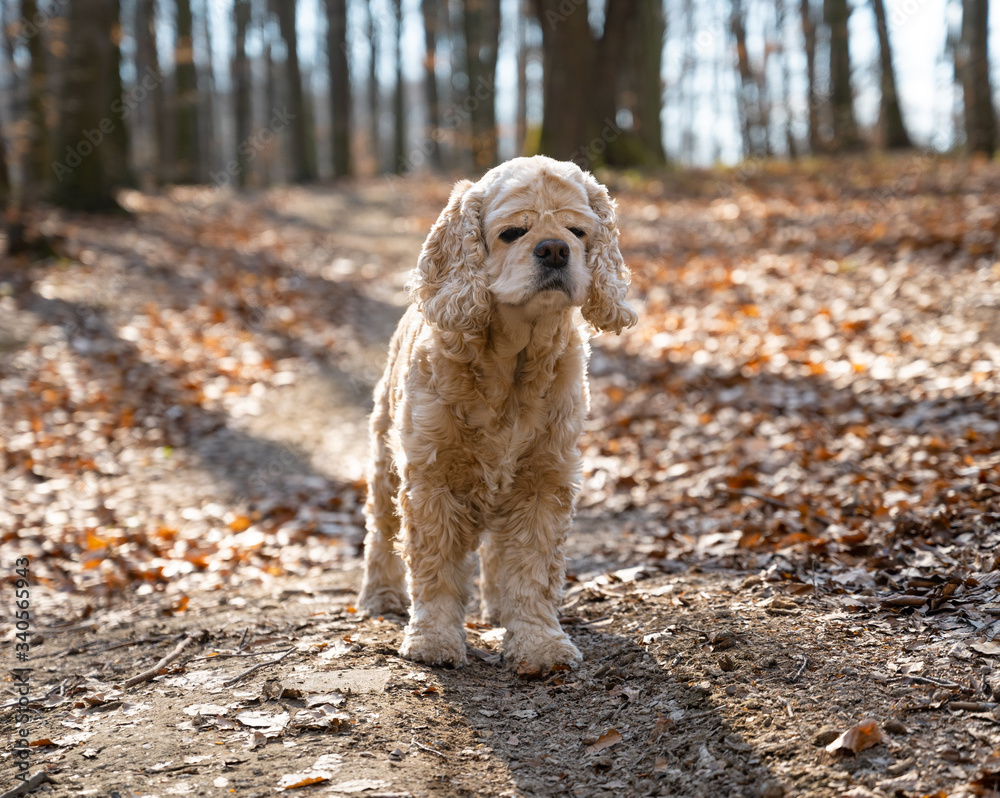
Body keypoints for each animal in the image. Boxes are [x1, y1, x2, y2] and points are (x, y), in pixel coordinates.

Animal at [360, 155, 636, 668]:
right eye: (512, 233)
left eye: (577, 231)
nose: (554, 249)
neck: (513, 365)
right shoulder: (431, 476)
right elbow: (434, 568)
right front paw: (433, 641)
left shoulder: (544, 479)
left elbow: (532, 571)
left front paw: (539, 643)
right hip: (385, 462)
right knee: (380, 532)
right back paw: (379, 596)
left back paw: (495, 607)